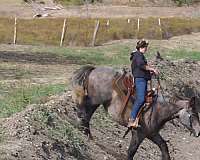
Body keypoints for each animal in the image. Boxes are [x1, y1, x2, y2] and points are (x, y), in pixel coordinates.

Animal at [70, 65, 200, 160]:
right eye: (192, 115)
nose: (198, 132)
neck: (158, 109)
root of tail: (95, 69)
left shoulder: (152, 133)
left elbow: (164, 146)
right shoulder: (138, 133)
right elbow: (131, 152)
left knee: (85, 116)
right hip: (94, 101)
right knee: (84, 115)